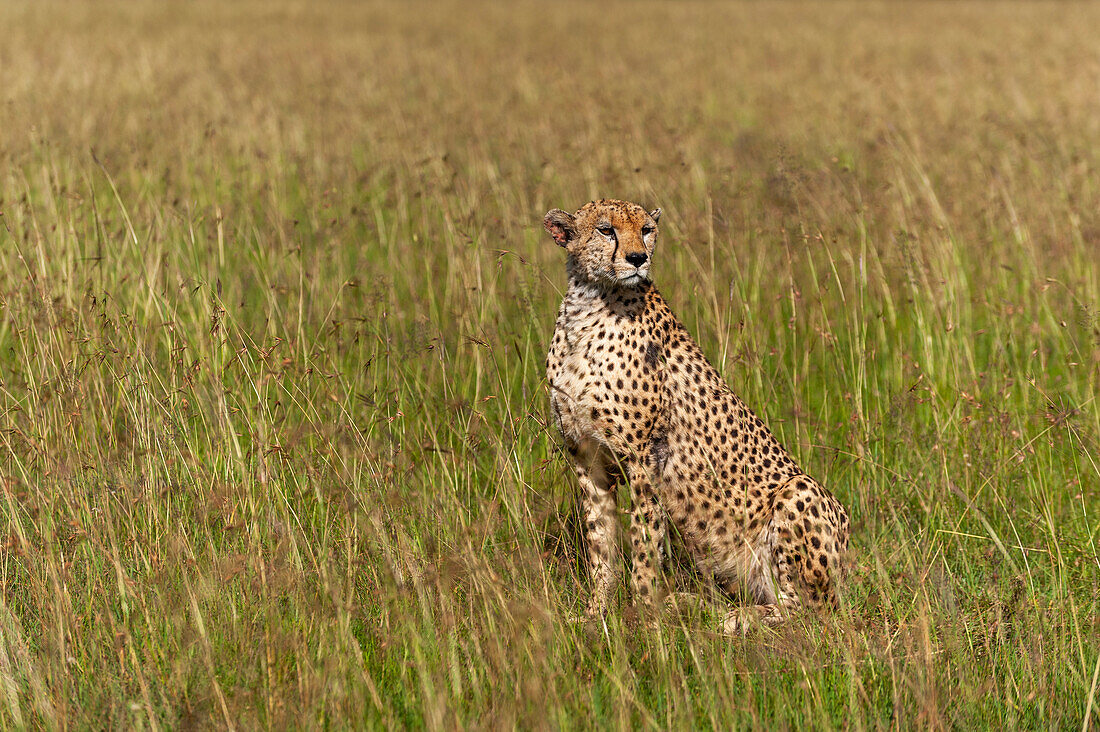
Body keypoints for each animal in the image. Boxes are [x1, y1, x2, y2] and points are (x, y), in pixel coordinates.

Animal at [543, 197, 849, 629]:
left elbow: (645, 545)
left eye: (647, 230)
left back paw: (729, 619)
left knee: (807, 615)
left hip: (800, 493)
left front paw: (646, 621)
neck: (590, 304)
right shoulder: (586, 456)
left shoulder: (644, 458)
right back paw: (691, 603)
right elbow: (601, 542)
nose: (638, 258)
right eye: (606, 230)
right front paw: (596, 614)